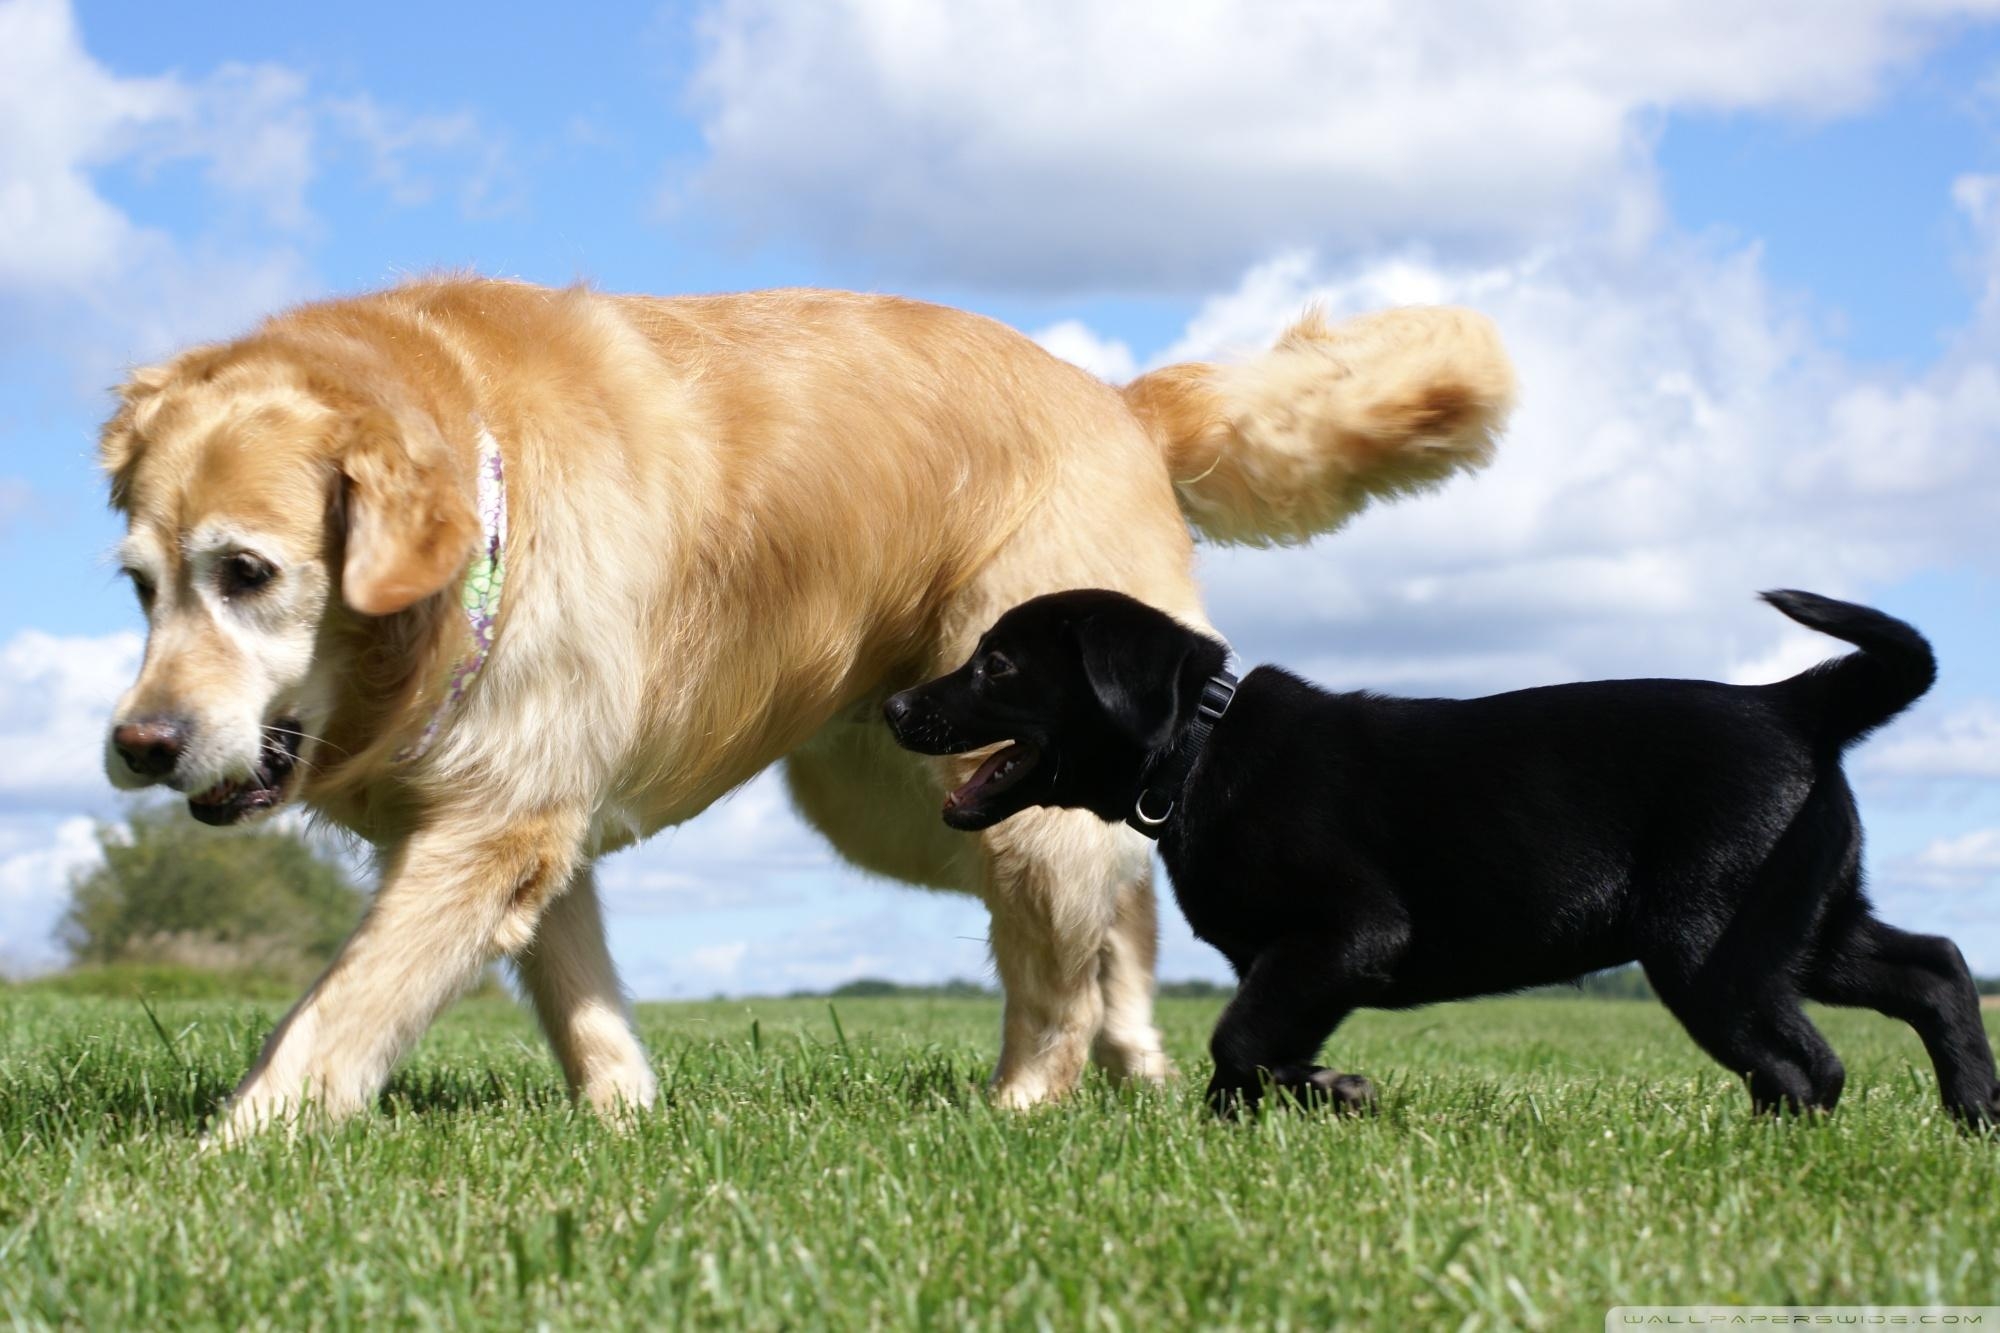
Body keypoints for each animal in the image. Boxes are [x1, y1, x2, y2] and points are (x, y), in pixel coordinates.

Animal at [888, 584, 2000, 1120]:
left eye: (996, 663)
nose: (896, 705)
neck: (1199, 748)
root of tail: (1794, 704)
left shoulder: (1346, 932)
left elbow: (1239, 1040)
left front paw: (1335, 1093)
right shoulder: (1295, 962)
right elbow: (1250, 1052)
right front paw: (1277, 1111)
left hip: (1709, 942)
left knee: (1809, 1065)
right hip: (1803, 919)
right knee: (1934, 965)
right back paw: (1973, 1116)